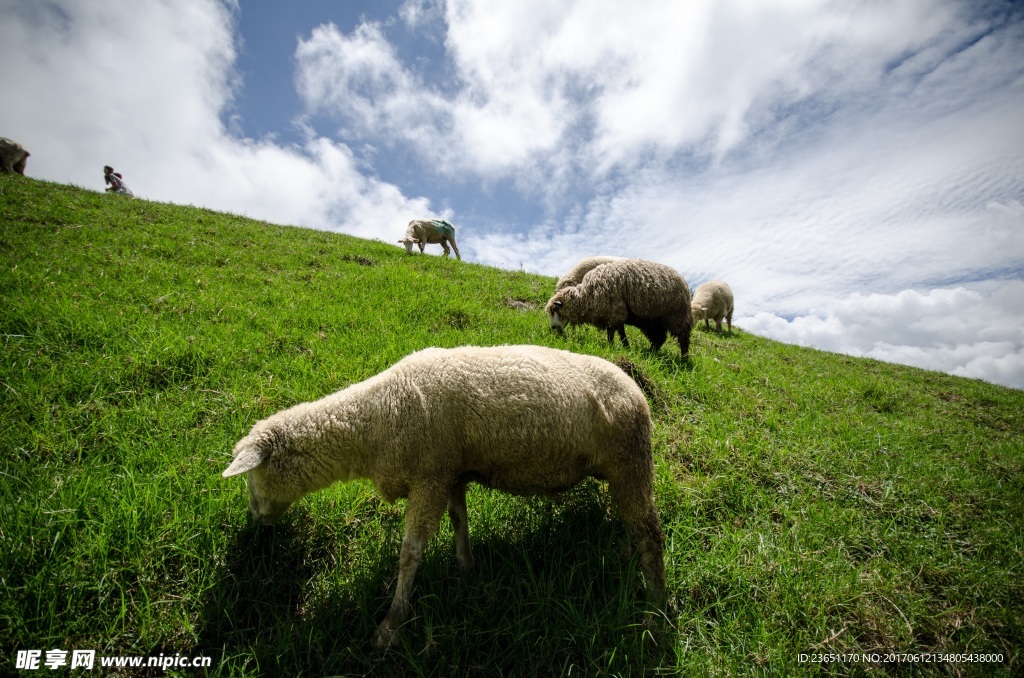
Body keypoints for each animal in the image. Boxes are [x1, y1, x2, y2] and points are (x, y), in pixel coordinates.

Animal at [224, 348, 667, 651]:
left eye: (251, 479)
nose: (253, 521)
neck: (377, 421)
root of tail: (635, 388)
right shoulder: (449, 473)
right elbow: (459, 521)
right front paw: (465, 569)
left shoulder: (429, 477)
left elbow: (410, 553)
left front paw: (392, 624)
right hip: (617, 469)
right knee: (631, 525)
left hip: (631, 459)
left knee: (651, 534)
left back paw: (656, 610)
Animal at [544, 258, 696, 358]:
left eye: (555, 310)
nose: (553, 329)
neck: (587, 296)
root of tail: (683, 281)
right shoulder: (618, 312)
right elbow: (621, 332)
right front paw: (626, 347)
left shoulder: (615, 310)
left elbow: (612, 332)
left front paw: (611, 347)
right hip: (652, 320)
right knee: (660, 338)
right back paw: (650, 353)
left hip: (676, 314)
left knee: (683, 337)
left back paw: (684, 360)